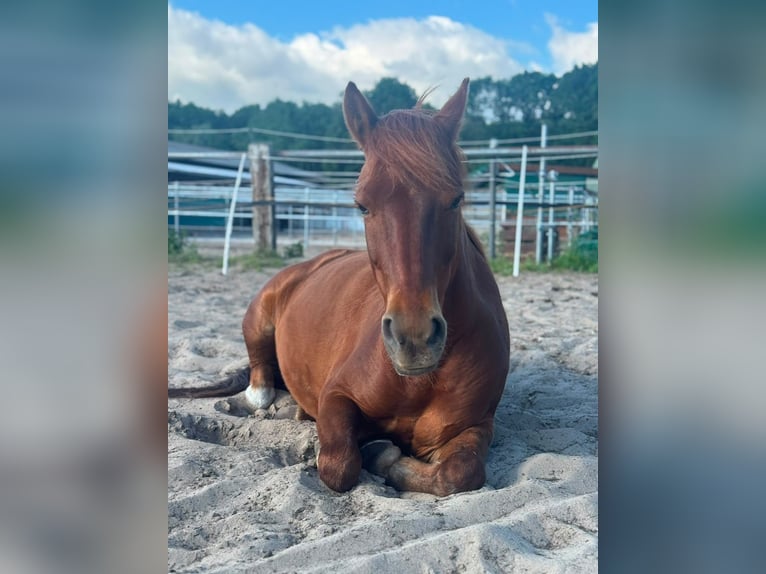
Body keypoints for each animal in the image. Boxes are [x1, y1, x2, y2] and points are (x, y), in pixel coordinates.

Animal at [169, 79, 510, 496]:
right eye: (361, 204)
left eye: (456, 199)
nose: (413, 338)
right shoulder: (335, 397)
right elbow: (340, 466)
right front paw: (375, 451)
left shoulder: (475, 426)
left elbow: (461, 472)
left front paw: (384, 456)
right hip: (258, 319)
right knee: (260, 381)